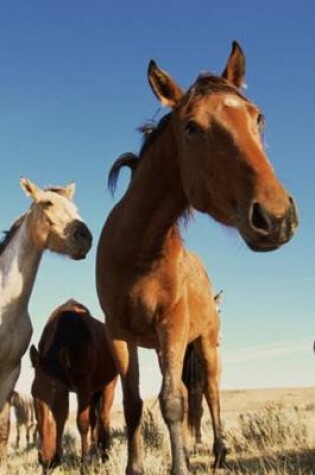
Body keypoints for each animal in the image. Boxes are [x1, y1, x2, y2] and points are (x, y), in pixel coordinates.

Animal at [29, 302, 118, 472]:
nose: (46, 459)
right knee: (95, 420)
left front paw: (85, 466)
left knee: (104, 418)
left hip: (108, 386)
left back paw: (104, 457)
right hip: (94, 392)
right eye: (33, 393)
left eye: (60, 394)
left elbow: (82, 424)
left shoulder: (83, 388)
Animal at [96, 41, 298, 475]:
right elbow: (134, 404)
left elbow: (172, 402)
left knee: (212, 393)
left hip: (206, 346)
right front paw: (136, 467)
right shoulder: (119, 332)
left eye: (258, 117)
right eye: (191, 127)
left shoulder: (170, 327)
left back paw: (220, 452)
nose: (276, 217)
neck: (137, 250)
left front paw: (180, 466)